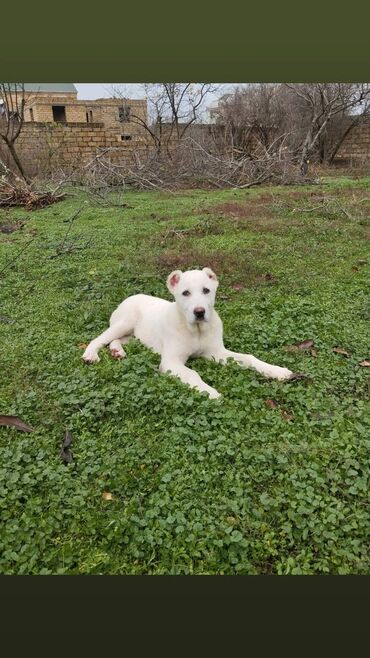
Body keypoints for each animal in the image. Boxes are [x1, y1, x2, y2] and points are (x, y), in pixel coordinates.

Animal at [82, 266, 294, 398]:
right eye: (185, 293)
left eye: (206, 290)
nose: (199, 312)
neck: (196, 330)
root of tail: (129, 297)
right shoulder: (171, 362)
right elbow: (192, 374)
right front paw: (210, 392)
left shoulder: (216, 352)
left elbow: (249, 358)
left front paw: (276, 370)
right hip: (124, 322)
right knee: (99, 339)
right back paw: (91, 354)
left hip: (134, 335)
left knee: (116, 340)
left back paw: (117, 351)